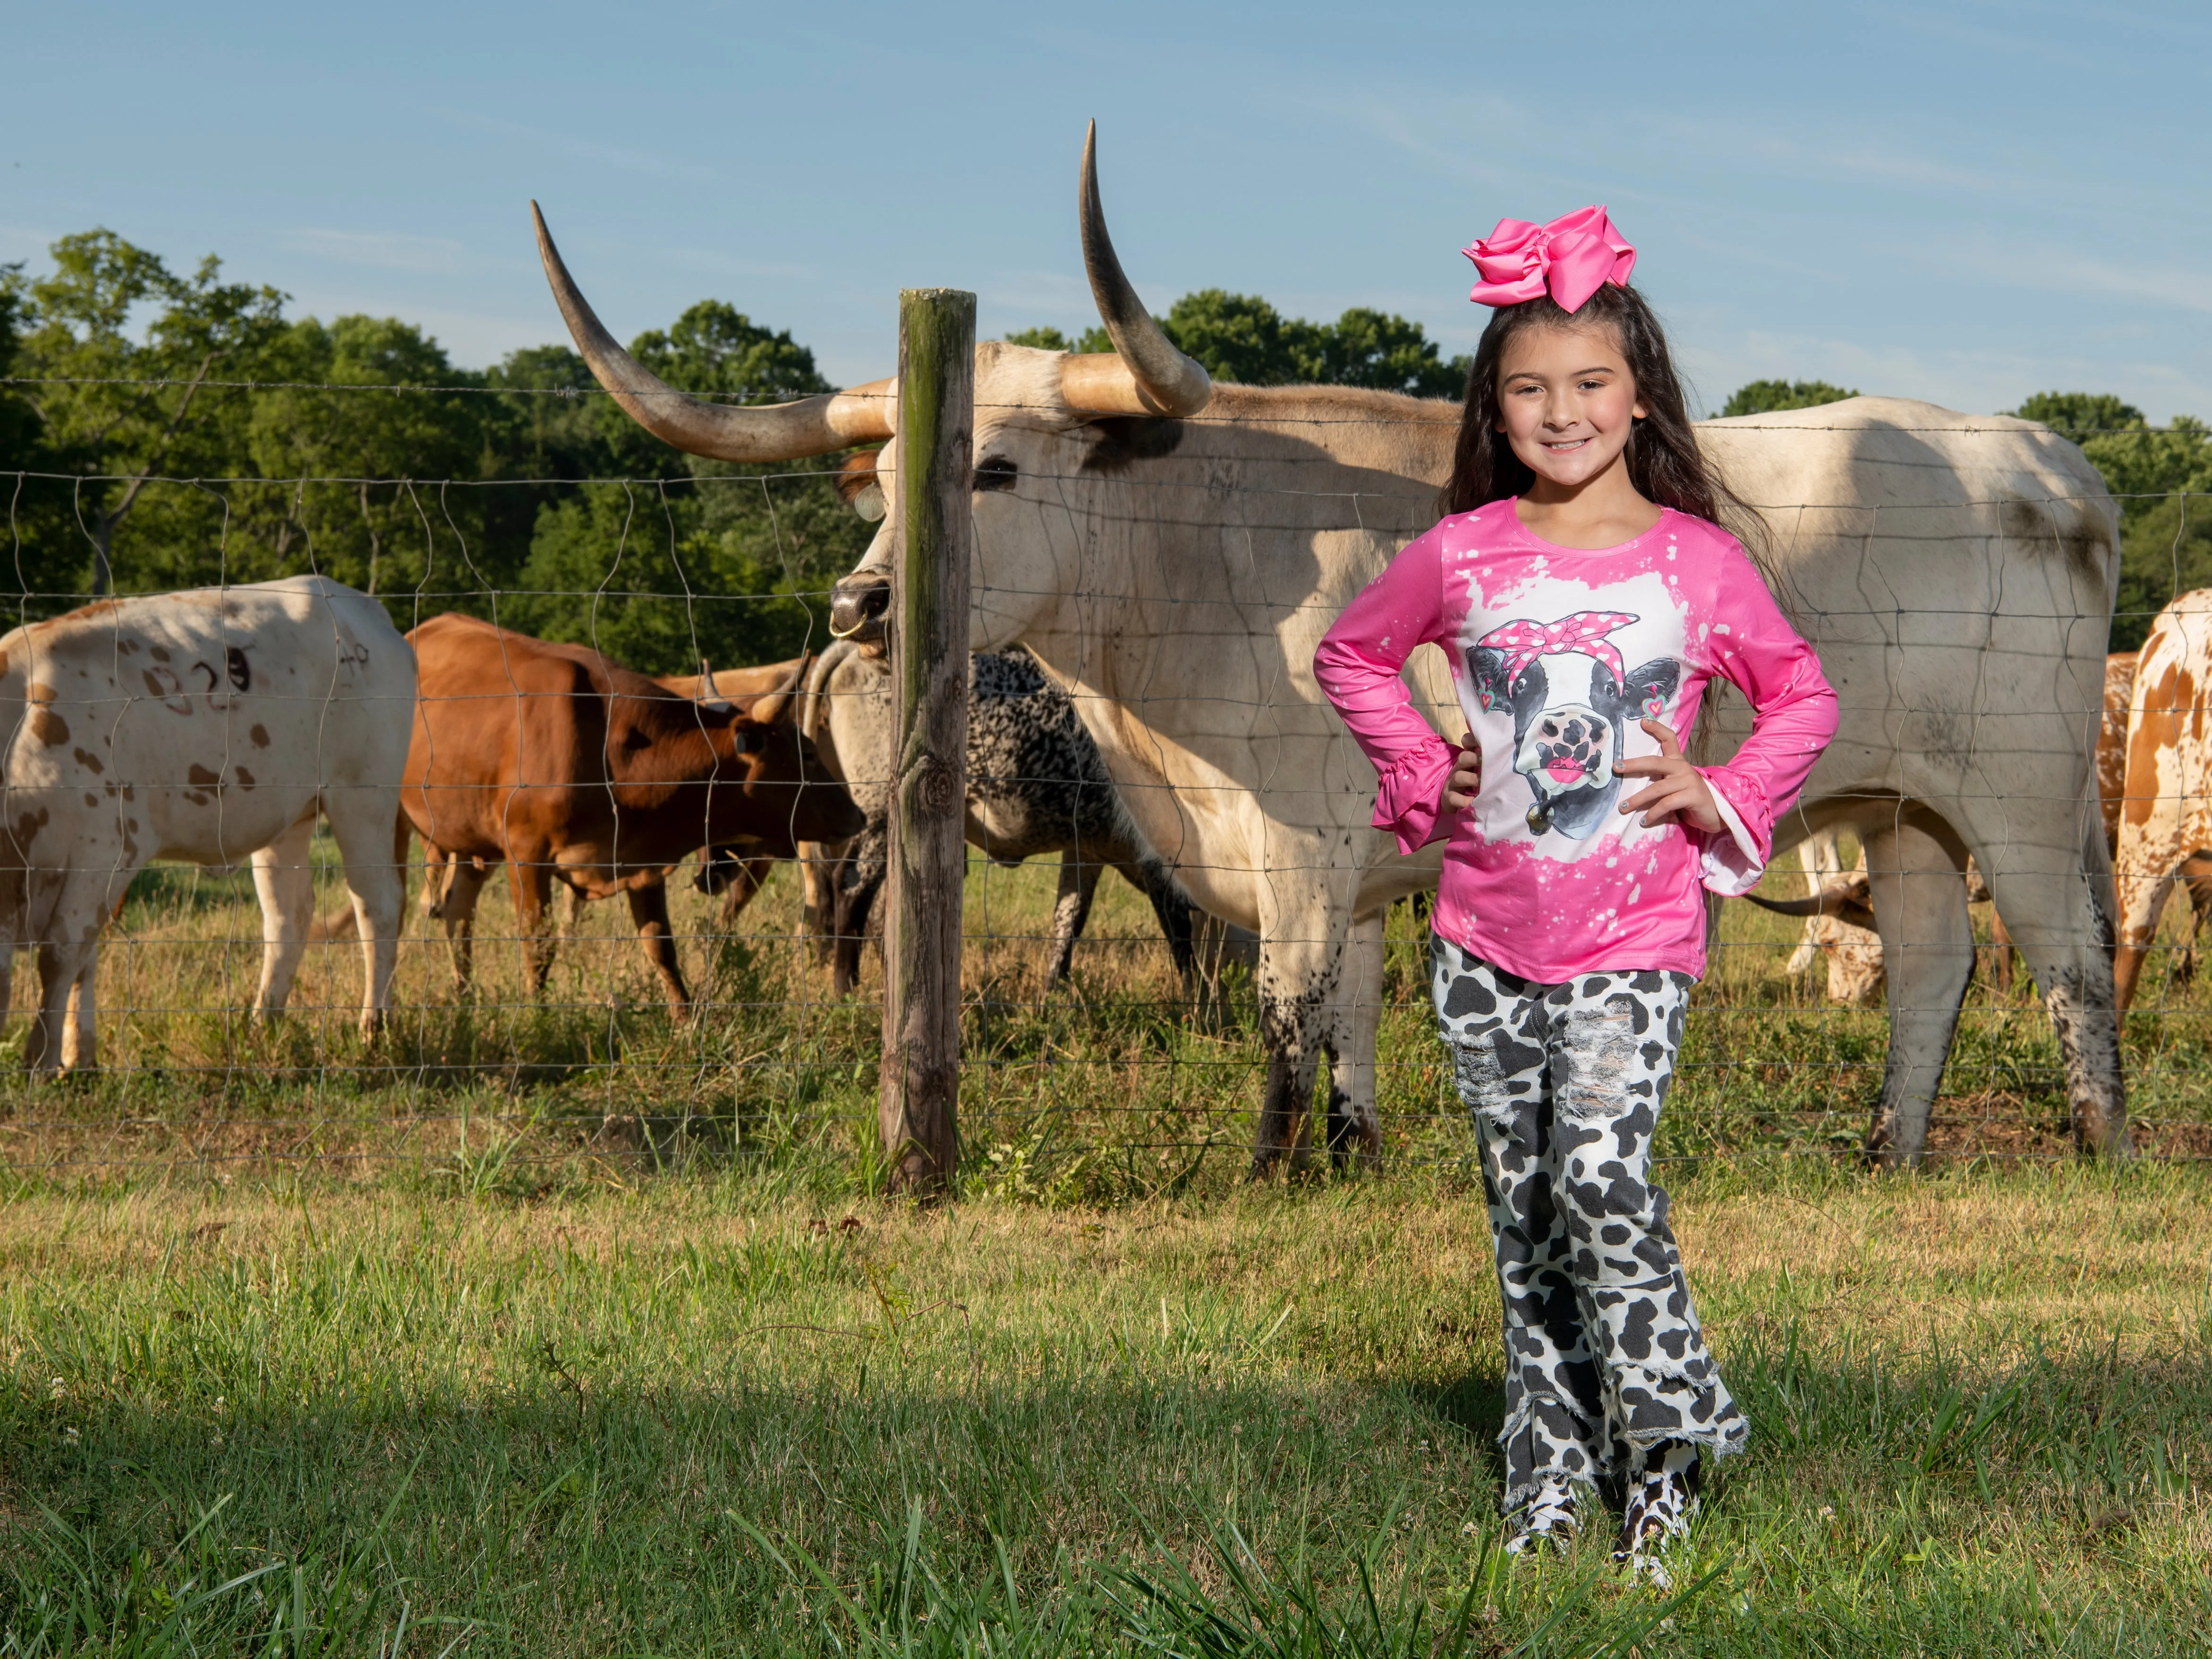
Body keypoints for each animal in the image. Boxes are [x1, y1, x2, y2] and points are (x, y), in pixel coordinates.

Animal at [0, 584, 416, 1071]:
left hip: (364, 798)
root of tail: (360, 605)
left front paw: (42, 1062)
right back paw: (261, 1028)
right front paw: (78, 1058)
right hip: (286, 815)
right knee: (288, 915)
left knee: (378, 905)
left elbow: (61, 954)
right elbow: (83, 957)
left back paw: (374, 1031)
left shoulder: (107, 849)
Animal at [402, 619, 858, 1013]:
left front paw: (686, 1024)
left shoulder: (643, 862)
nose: (858, 814)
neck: (611, 752)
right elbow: (539, 944)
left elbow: (661, 946)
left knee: (458, 910)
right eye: (808, 754)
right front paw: (538, 1015)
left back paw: (463, 999)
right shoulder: (528, 858)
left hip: (473, 838)